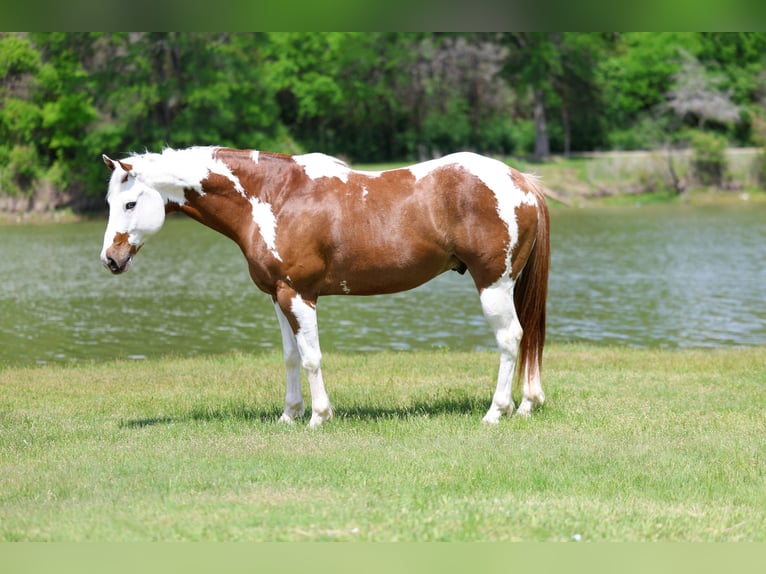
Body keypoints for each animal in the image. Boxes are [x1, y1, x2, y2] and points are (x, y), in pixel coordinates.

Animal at [100, 146, 550, 427]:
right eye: (109, 204)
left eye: (129, 203)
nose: (110, 259)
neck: (273, 197)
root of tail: (520, 181)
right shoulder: (277, 296)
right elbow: (290, 357)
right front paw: (289, 414)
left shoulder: (299, 295)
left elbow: (312, 357)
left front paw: (318, 416)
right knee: (525, 339)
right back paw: (527, 405)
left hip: (493, 285)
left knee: (510, 339)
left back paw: (496, 412)